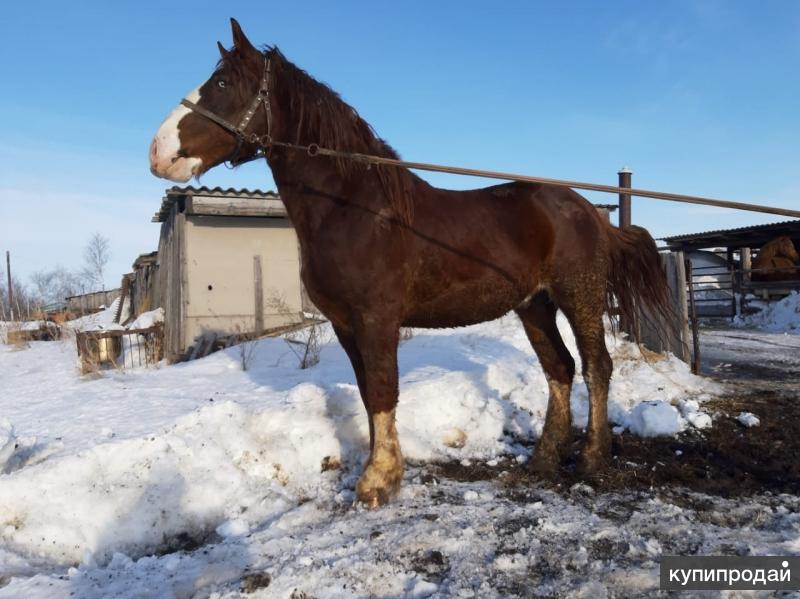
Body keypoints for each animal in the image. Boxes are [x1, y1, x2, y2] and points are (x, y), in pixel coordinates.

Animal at [148, 17, 668, 506]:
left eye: (221, 83)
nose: (158, 153)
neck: (355, 207)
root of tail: (589, 211)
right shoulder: (345, 324)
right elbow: (367, 392)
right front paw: (384, 470)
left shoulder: (376, 319)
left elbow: (383, 390)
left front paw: (378, 482)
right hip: (534, 305)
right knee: (559, 368)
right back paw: (543, 459)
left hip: (580, 296)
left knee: (596, 366)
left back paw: (592, 458)